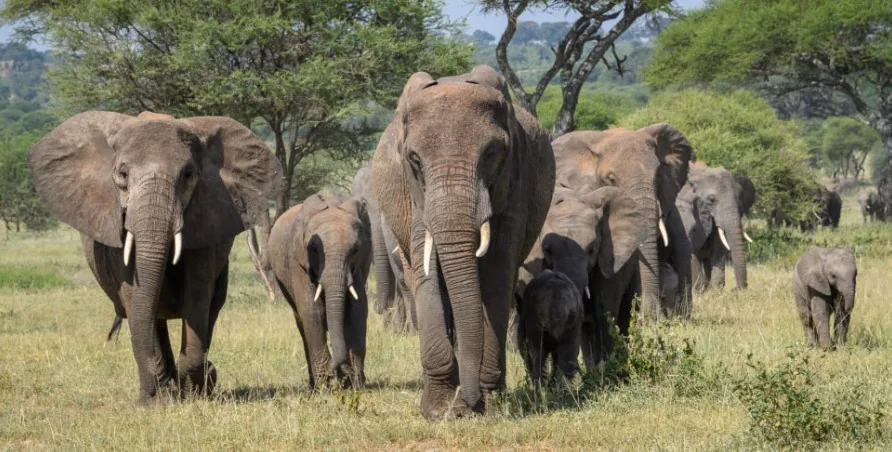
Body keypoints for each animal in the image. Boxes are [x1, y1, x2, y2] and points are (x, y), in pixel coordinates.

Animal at [28, 111, 281, 403]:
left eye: (188, 175)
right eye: (123, 174)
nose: (151, 389)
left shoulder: (206, 217)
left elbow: (197, 294)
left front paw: (194, 388)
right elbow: (133, 293)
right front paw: (156, 399)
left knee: (211, 308)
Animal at [267, 192, 372, 388]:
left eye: (355, 250)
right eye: (314, 249)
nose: (340, 372)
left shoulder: (359, 266)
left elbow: (358, 311)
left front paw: (355, 383)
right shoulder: (298, 260)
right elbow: (311, 311)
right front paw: (327, 384)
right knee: (302, 324)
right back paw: (314, 385)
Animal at [371, 65, 555, 418]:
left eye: (492, 154)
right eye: (415, 160)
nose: (467, 405)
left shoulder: (515, 181)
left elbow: (497, 273)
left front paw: (491, 406)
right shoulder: (414, 195)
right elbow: (426, 271)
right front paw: (440, 411)